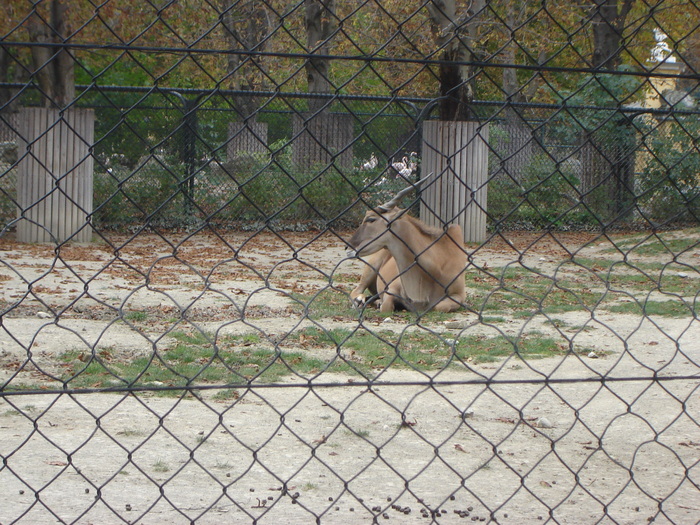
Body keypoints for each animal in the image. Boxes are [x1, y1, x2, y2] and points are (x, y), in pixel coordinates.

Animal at [348, 174, 468, 314]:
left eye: (371, 219)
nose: (348, 247)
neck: (438, 266)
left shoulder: (459, 295)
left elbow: (440, 306)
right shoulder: (392, 288)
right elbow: (386, 307)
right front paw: (380, 304)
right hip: (371, 268)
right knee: (356, 290)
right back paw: (359, 301)